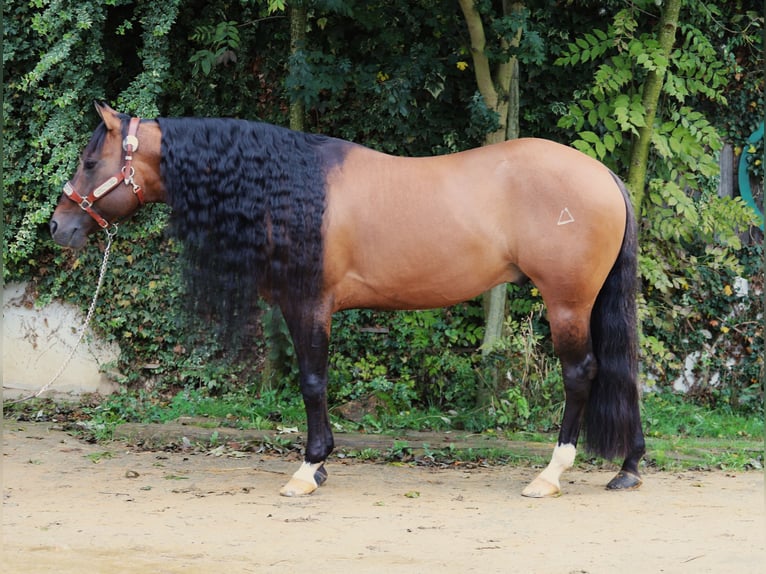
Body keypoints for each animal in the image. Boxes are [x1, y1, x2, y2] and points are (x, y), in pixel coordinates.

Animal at [50, 102, 646, 498]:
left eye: (89, 162)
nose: (58, 227)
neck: (288, 188)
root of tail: (604, 175)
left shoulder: (309, 303)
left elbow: (313, 381)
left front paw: (308, 468)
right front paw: (319, 464)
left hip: (566, 302)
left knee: (581, 374)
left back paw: (550, 473)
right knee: (622, 370)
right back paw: (629, 466)